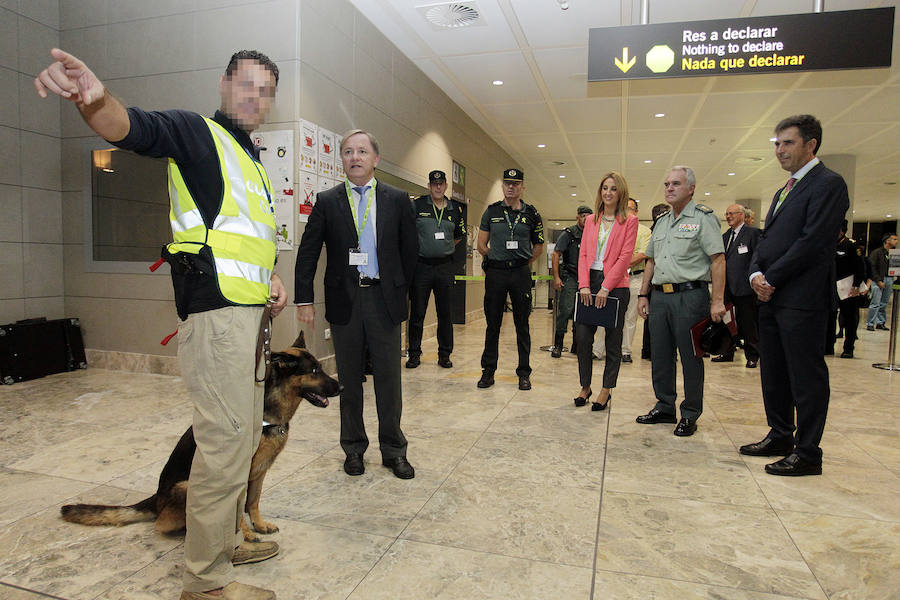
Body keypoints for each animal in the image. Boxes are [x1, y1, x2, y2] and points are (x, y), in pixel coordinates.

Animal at [59, 330, 342, 540]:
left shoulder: (260, 472)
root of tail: (155, 499)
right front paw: (245, 534)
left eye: (320, 368)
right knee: (164, 524)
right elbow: (238, 506)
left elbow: (253, 501)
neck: (268, 410)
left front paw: (259, 525)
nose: (340, 386)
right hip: (188, 487)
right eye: (314, 371)